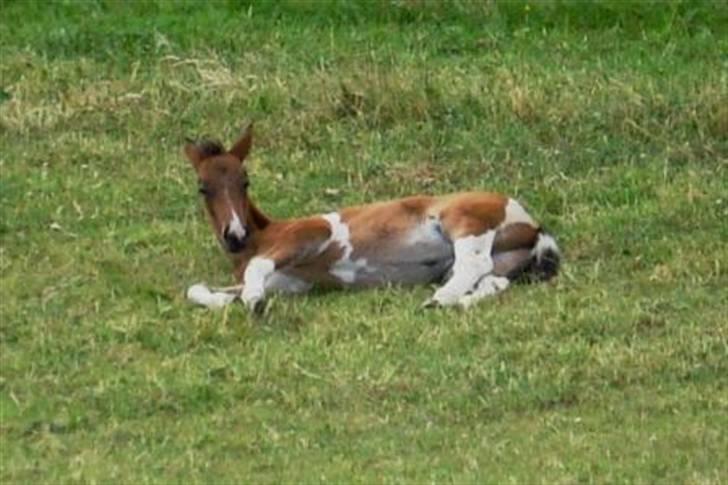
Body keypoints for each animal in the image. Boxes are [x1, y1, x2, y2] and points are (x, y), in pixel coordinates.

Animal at [185, 122, 560, 310]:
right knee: (494, 281)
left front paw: (253, 301)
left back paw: (438, 300)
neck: (264, 236)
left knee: (475, 263)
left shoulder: (311, 233)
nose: (235, 235)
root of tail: (534, 224)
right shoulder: (291, 284)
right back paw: (456, 302)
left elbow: (256, 267)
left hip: (466, 223)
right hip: (504, 261)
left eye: (245, 181)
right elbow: (198, 289)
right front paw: (237, 298)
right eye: (203, 187)